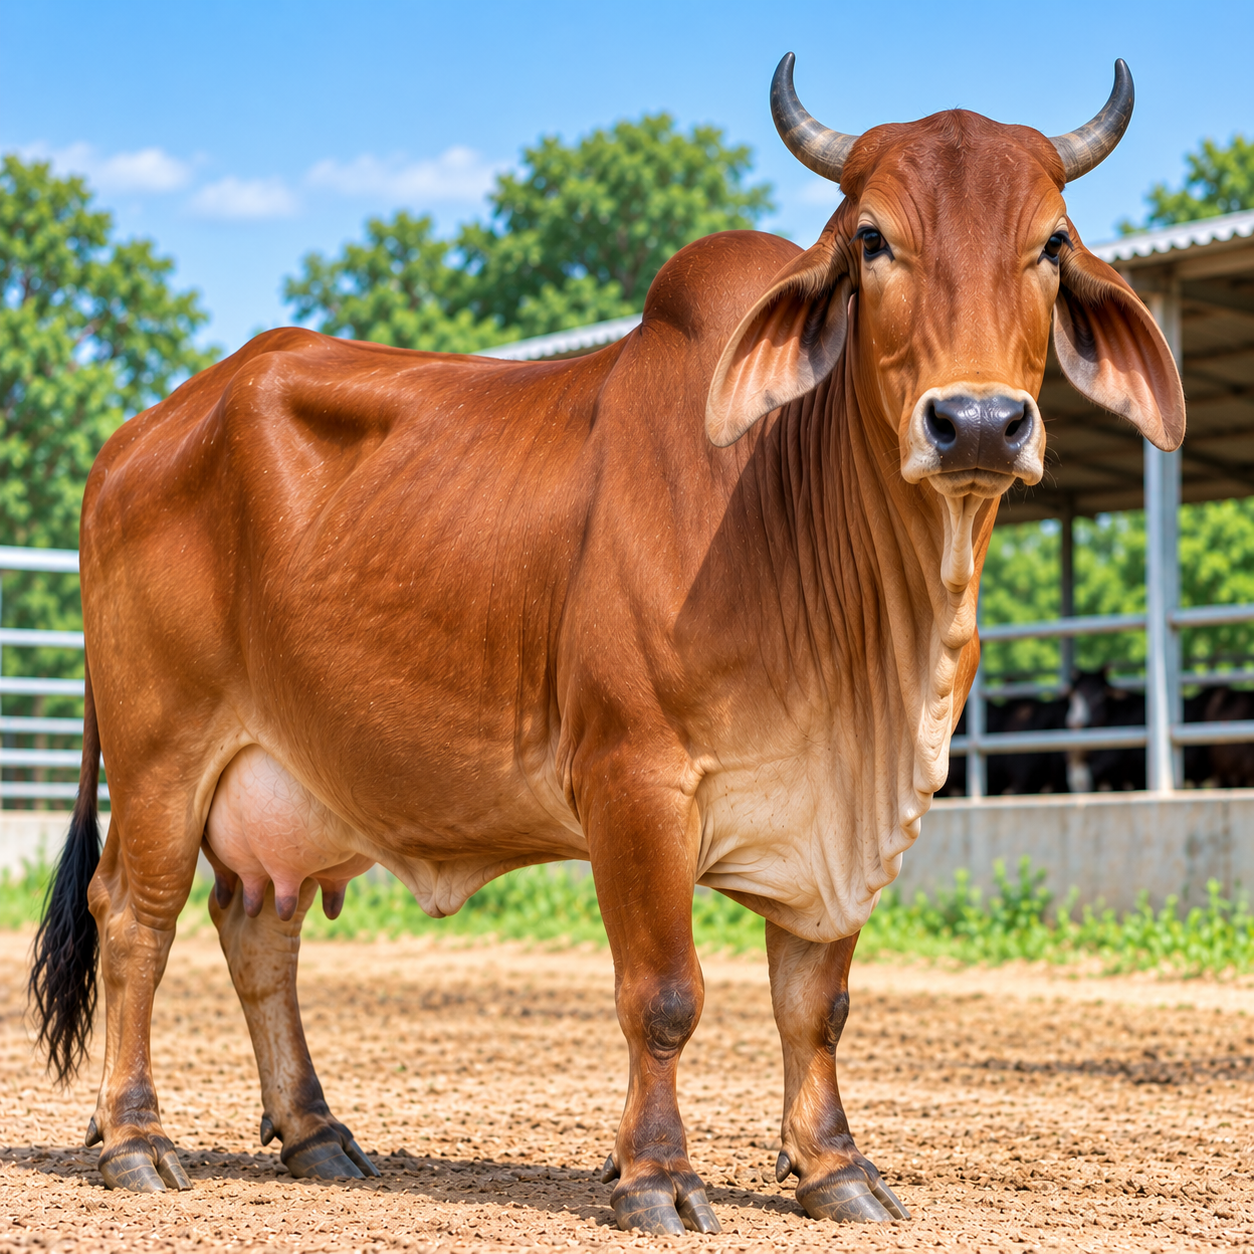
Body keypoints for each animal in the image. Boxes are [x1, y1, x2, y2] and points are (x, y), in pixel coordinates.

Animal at [30, 55, 1183, 1231]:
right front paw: (659, 1176)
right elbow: (664, 995)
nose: (979, 423)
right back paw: (135, 1140)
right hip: (163, 754)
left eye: (1052, 243)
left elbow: (816, 1004)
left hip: (274, 779)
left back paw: (315, 1133)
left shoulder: (843, 815)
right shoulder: (634, 779)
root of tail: (136, 434)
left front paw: (836, 1169)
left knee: (258, 927)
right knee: (136, 918)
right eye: (872, 238)